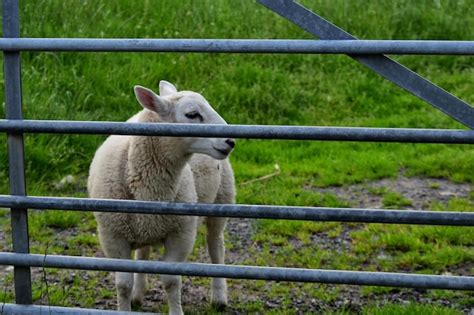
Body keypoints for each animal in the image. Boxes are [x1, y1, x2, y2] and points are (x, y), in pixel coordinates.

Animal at [87, 81, 235, 315]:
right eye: (192, 114)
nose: (230, 141)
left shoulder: (181, 234)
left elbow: (171, 281)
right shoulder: (113, 235)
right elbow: (123, 284)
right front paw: (127, 303)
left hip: (222, 199)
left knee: (216, 246)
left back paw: (219, 297)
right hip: (145, 225)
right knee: (144, 253)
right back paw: (138, 295)